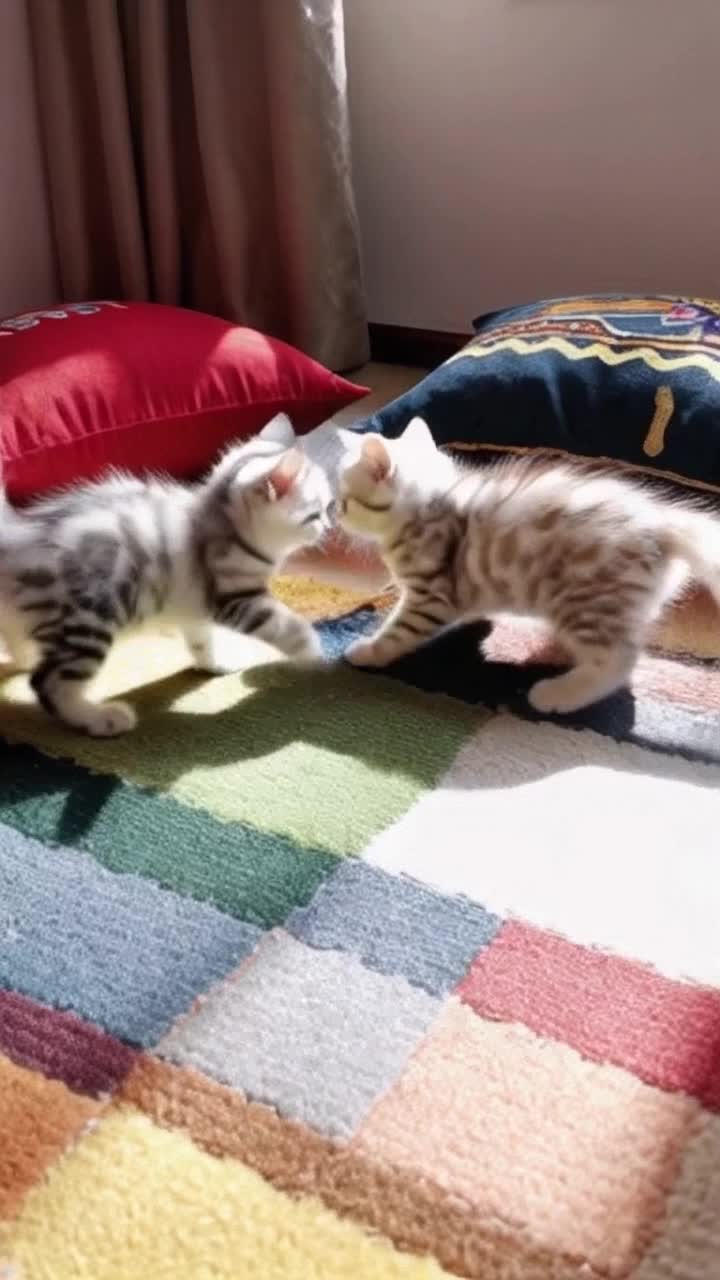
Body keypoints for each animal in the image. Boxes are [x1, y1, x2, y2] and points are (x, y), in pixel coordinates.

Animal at [0, 417, 330, 737]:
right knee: (48, 683)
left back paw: (28, 655)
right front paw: (312, 653)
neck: (219, 520)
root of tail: (17, 540)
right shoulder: (235, 597)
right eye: (317, 514)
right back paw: (98, 718)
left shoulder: (193, 603)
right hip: (89, 619)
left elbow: (201, 639)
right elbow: (288, 625)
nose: (329, 526)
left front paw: (215, 662)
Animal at [335, 422, 717, 716]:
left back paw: (554, 695)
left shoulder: (430, 595)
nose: (332, 513)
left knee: (618, 662)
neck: (427, 506)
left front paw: (366, 651)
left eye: (344, 501)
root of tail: (663, 523)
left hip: (585, 602)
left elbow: (397, 631)